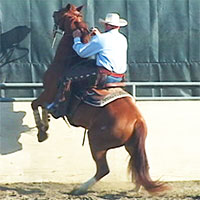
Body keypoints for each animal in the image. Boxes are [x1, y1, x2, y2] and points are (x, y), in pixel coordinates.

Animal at [31, 3, 169, 195]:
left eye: (62, 12)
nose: (53, 13)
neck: (68, 61)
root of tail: (137, 120)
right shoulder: (48, 95)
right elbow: (42, 107)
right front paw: (46, 125)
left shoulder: (48, 92)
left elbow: (35, 104)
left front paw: (42, 132)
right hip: (131, 145)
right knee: (137, 165)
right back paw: (136, 188)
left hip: (96, 142)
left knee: (103, 169)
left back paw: (80, 188)